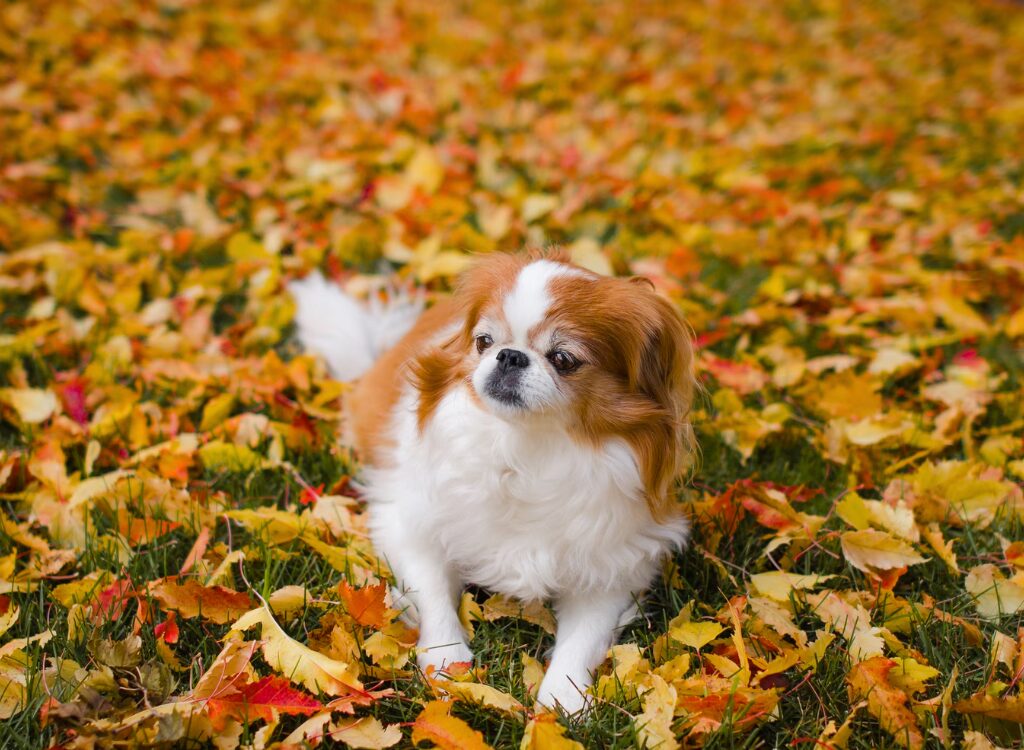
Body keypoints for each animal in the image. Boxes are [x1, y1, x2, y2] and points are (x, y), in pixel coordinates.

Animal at [288, 248, 696, 713]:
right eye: (484, 342)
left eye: (563, 359)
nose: (510, 356)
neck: (527, 446)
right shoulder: (409, 525)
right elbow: (432, 593)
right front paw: (447, 662)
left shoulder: (613, 568)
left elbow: (581, 641)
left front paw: (564, 701)